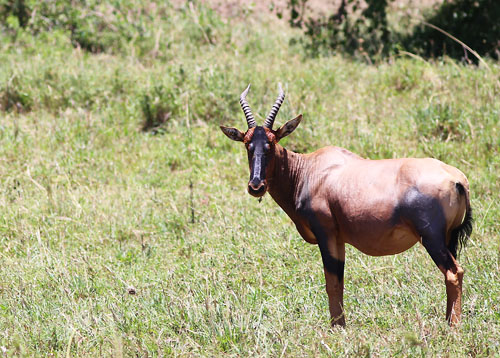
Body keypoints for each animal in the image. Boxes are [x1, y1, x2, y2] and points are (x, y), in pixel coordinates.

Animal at [222, 84, 472, 328]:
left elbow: (331, 283)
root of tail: (457, 179)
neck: (308, 170)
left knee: (453, 272)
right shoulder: (339, 239)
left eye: (272, 143)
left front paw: (336, 328)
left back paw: (453, 327)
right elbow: (339, 283)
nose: (256, 185)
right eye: (247, 144)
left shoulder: (326, 234)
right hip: (448, 237)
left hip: (431, 238)